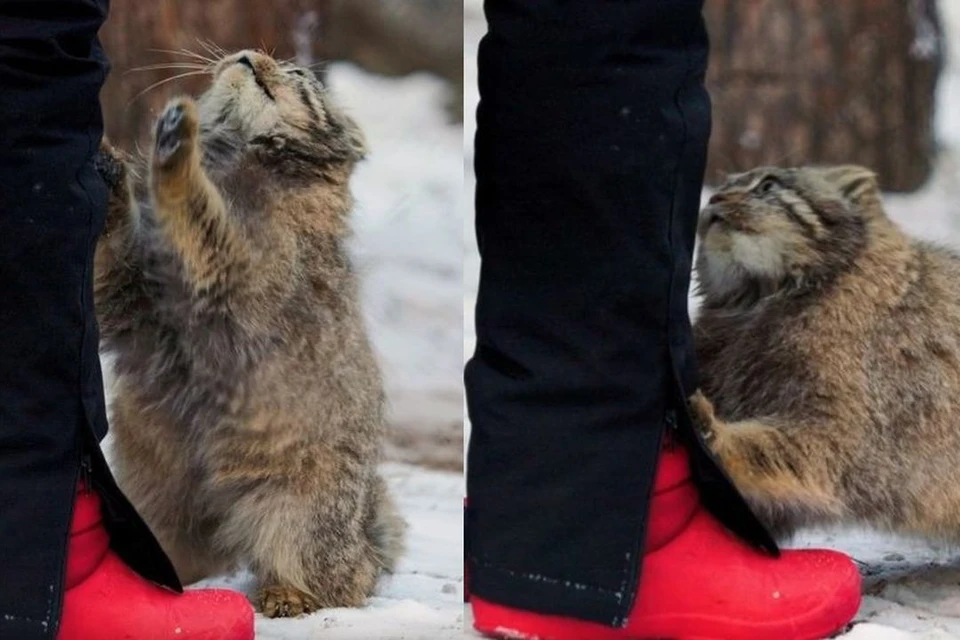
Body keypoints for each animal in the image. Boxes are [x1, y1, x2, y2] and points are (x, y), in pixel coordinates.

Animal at [98, 51, 408, 620]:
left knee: (337, 577)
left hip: (301, 509)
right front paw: (110, 169)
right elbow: (110, 264)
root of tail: (365, 544)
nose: (246, 56)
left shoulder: (237, 270)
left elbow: (198, 214)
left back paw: (291, 592)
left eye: (298, 75)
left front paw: (175, 156)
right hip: (157, 506)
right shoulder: (135, 298)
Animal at [688, 164, 960, 540]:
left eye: (768, 185)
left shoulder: (848, 429)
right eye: (724, 186)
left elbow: (779, 449)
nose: (715, 198)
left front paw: (713, 435)